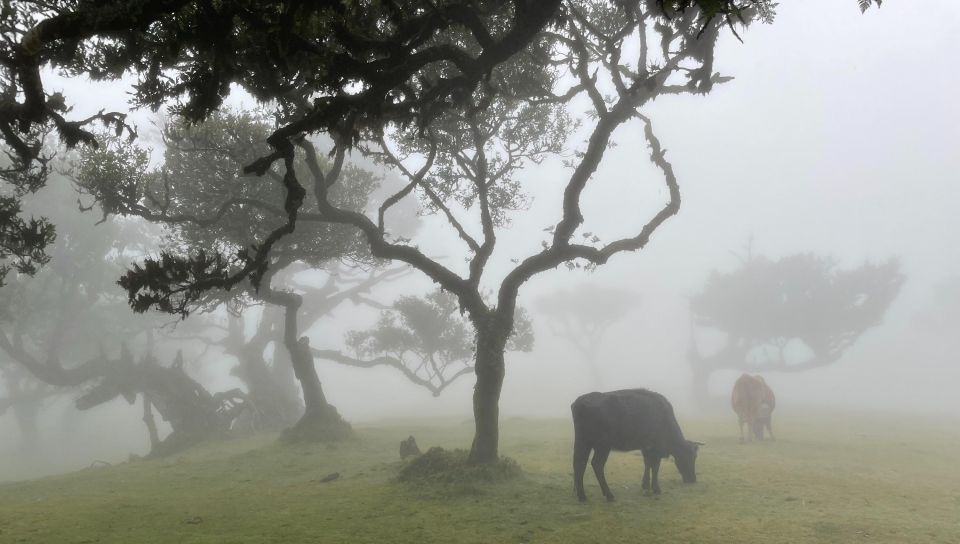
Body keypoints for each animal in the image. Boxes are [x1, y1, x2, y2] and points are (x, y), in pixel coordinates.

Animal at [568, 392, 696, 502]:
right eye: (690, 458)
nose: (693, 480)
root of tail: (580, 401)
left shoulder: (646, 447)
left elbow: (647, 464)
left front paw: (645, 486)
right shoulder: (656, 447)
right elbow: (655, 467)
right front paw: (656, 488)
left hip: (584, 443)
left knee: (579, 463)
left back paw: (581, 495)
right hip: (602, 446)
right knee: (596, 464)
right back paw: (609, 495)